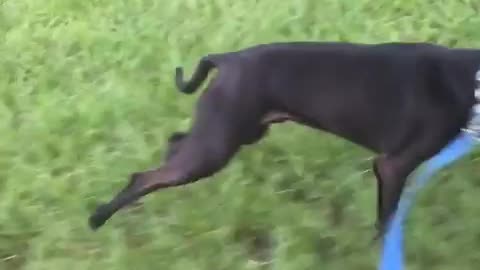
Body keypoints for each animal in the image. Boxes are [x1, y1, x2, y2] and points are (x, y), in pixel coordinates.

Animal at [88, 41, 480, 237]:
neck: (471, 79)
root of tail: (227, 59)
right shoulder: (393, 166)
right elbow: (386, 224)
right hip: (215, 148)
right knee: (145, 176)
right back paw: (99, 217)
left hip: (232, 133)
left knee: (174, 142)